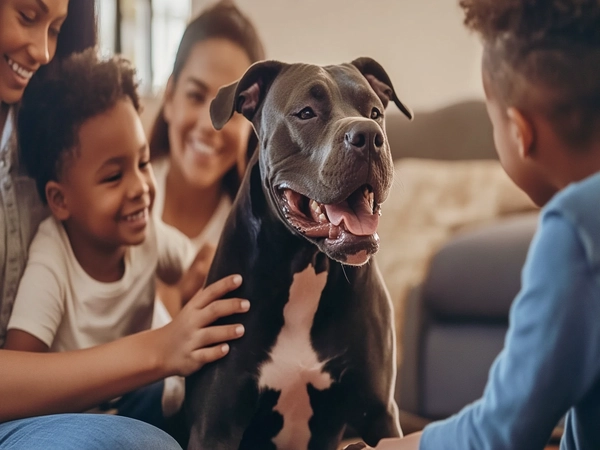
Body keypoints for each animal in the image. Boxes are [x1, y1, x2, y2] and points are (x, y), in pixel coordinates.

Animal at [186, 57, 412, 450]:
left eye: (375, 112)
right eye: (306, 113)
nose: (369, 135)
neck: (306, 265)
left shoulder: (379, 414)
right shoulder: (214, 424)